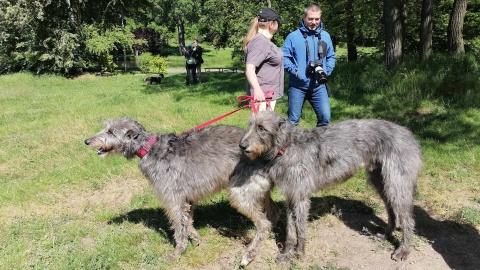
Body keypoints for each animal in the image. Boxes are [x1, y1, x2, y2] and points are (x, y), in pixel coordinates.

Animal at [84, 118, 276, 262]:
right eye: (105, 128)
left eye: (111, 132)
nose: (87, 141)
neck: (149, 149)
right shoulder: (186, 200)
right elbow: (188, 223)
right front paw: (197, 240)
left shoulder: (173, 199)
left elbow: (178, 227)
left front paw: (178, 252)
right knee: (274, 213)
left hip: (241, 191)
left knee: (264, 224)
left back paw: (249, 255)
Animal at [234, 110, 422, 264]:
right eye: (250, 125)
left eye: (261, 128)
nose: (242, 145)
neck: (287, 147)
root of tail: (410, 135)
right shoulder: (291, 195)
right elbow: (290, 229)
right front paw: (286, 254)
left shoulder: (301, 196)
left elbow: (300, 227)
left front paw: (299, 254)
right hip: (381, 180)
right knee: (391, 209)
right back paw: (386, 234)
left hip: (397, 183)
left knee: (408, 218)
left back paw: (403, 250)